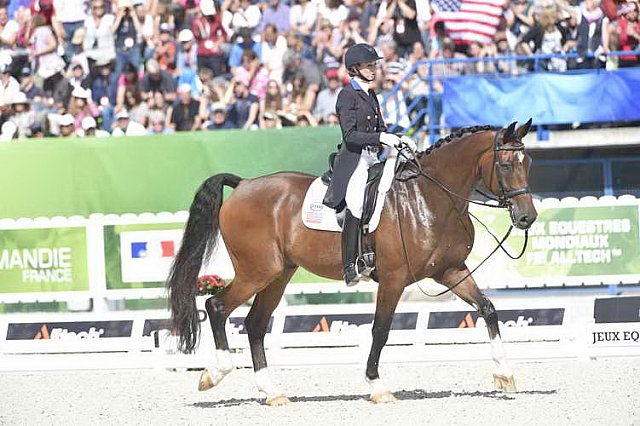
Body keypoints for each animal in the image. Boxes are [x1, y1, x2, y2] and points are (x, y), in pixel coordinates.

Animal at [168, 120, 536, 406]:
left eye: (528, 162)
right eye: (505, 165)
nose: (527, 218)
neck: (428, 198)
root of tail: (243, 184)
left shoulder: (451, 271)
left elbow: (488, 309)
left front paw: (505, 375)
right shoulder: (394, 279)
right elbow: (380, 330)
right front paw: (378, 386)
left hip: (278, 275)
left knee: (256, 324)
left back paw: (272, 392)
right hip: (257, 271)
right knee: (216, 306)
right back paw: (214, 374)